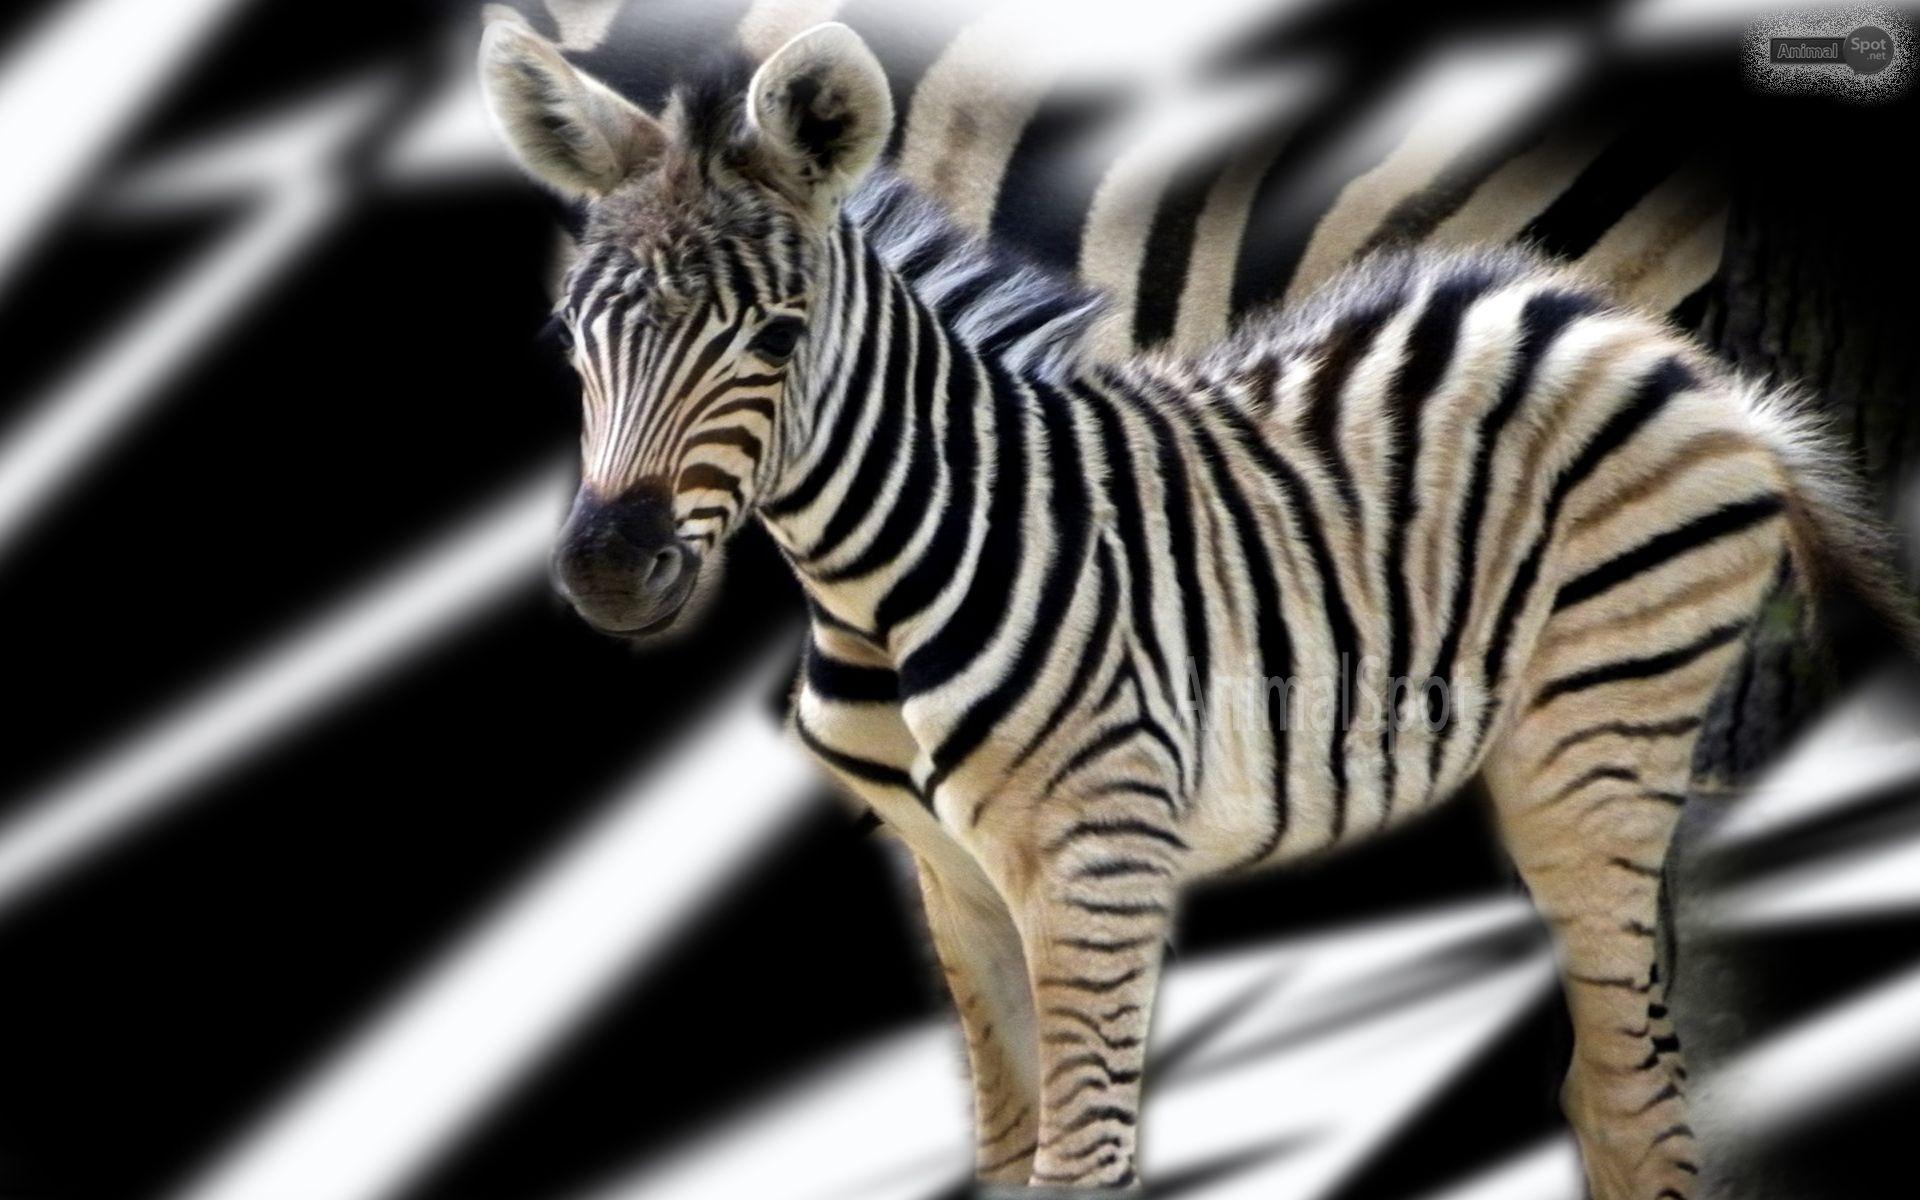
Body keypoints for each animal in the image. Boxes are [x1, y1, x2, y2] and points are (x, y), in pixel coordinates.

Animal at [479, 19, 1914, 1200]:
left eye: (775, 339)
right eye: (566, 337)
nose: (608, 569)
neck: (887, 581)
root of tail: (1674, 357)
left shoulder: (1100, 862)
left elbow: (1086, 1162)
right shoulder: (952, 878)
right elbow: (1009, 1154)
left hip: (1597, 739)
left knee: (1636, 1096)